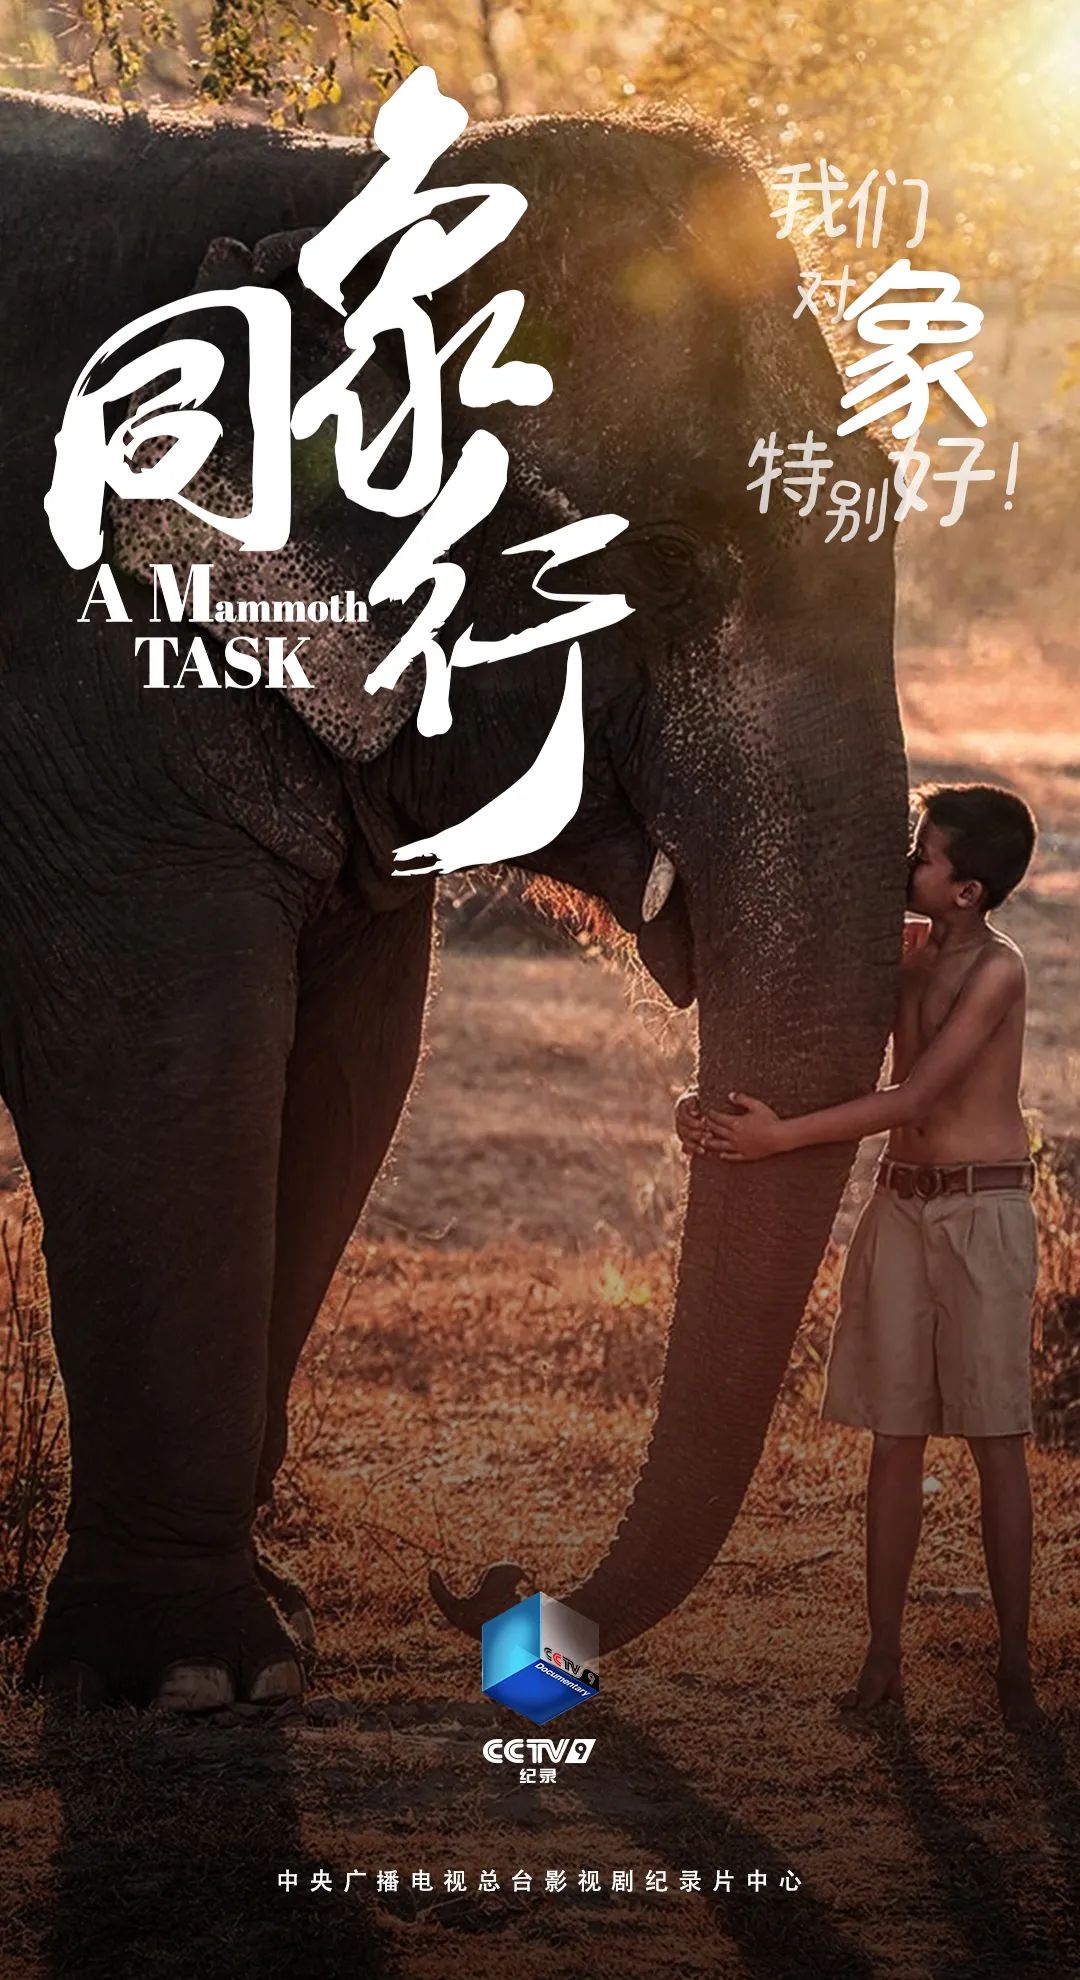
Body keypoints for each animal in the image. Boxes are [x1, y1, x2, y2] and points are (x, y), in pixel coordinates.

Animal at [0, 80, 907, 1711]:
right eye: (667, 571)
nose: (481, 1581)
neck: (310, 204)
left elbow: (350, 1070)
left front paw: (267, 1635)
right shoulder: (83, 721)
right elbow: (161, 1072)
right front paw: (190, 1679)